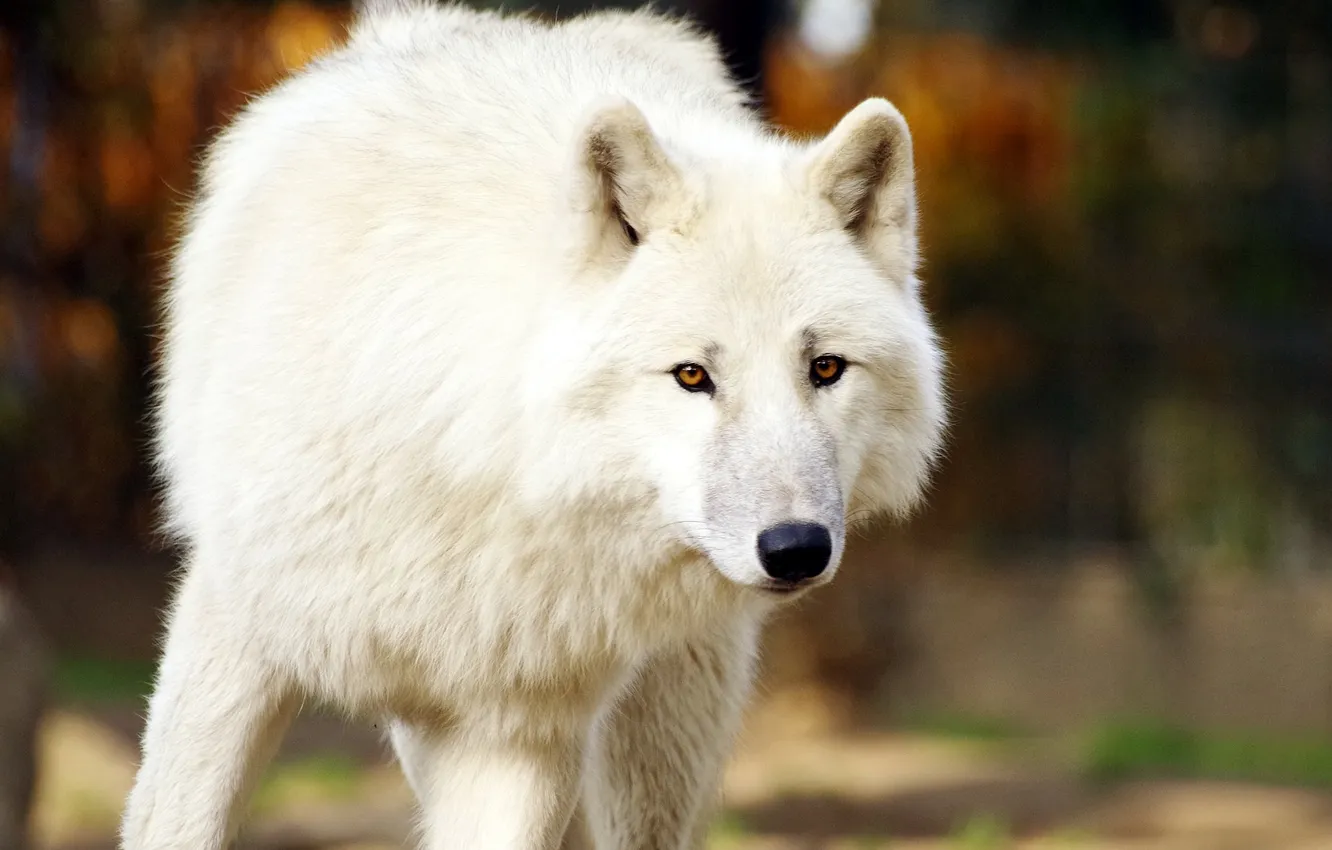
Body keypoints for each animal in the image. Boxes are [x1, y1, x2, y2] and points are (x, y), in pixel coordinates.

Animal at [120, 2, 946, 848]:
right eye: (692, 376)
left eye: (826, 368)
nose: (796, 549)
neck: (479, 461)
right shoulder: (232, 627)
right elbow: (178, 821)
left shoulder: (516, 734)